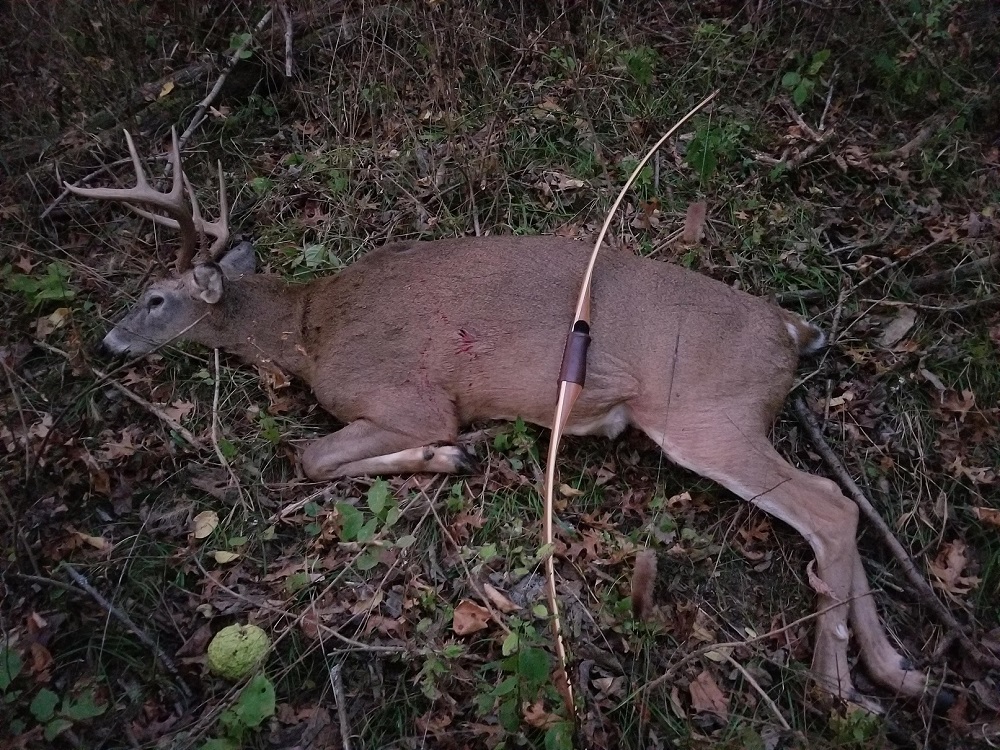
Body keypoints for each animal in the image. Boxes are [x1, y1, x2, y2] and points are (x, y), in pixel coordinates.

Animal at [68, 129, 932, 708]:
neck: (311, 331)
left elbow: (311, 458)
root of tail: (790, 329)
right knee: (841, 500)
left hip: (705, 413)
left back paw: (835, 681)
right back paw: (897, 670)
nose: (106, 343)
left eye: (155, 297)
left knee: (829, 507)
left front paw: (453, 454)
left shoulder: (406, 396)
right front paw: (463, 452)